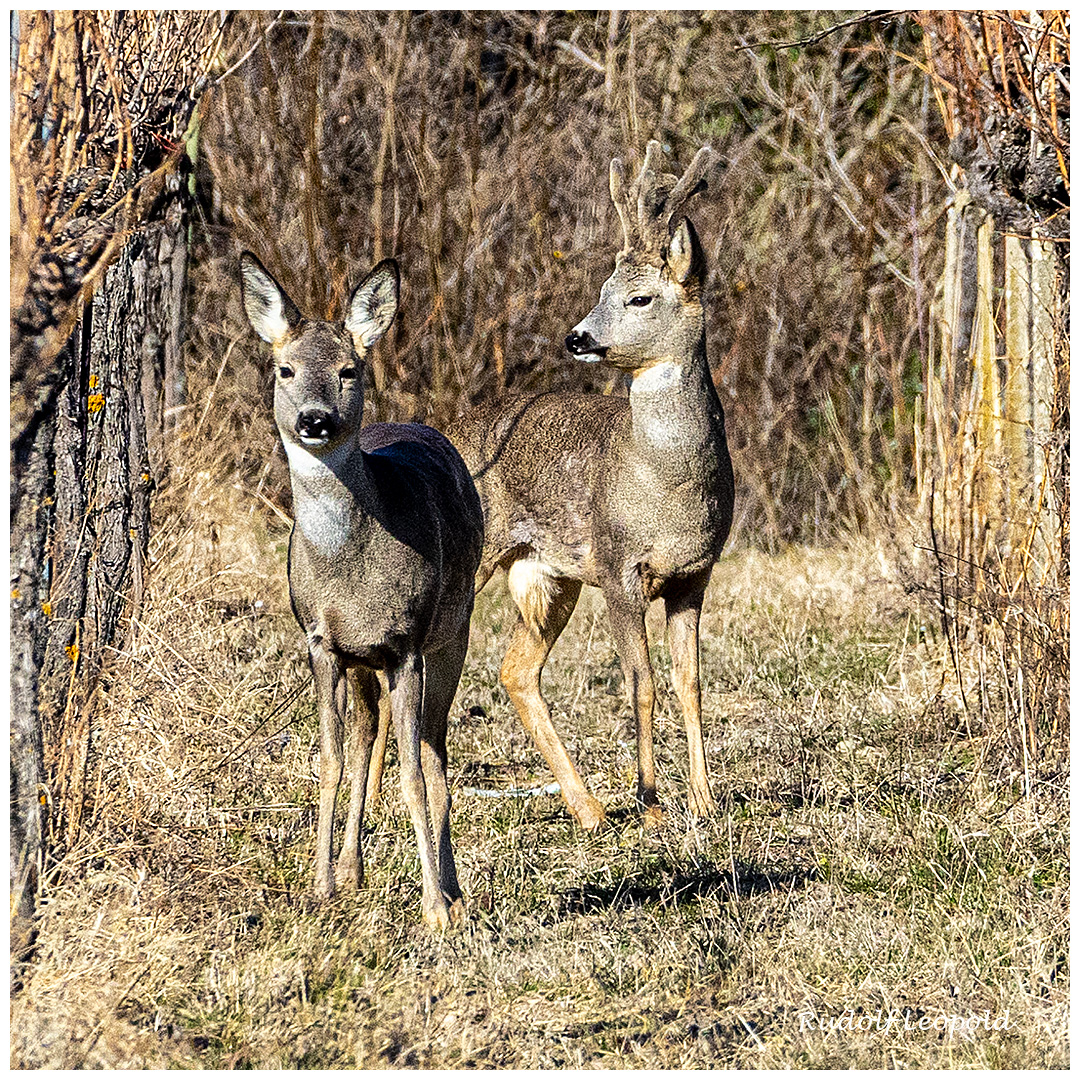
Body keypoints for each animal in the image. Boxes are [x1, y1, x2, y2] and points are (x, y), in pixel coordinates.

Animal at [245, 252, 486, 928]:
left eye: (349, 369)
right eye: (285, 368)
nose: (315, 419)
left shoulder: (406, 644)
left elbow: (412, 773)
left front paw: (434, 909)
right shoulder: (321, 643)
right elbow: (330, 760)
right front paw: (321, 885)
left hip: (452, 631)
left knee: (434, 748)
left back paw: (455, 891)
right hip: (363, 663)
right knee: (365, 737)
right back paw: (353, 871)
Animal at [447, 143, 734, 829]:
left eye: (639, 298)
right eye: (603, 288)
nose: (577, 337)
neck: (666, 484)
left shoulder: (695, 575)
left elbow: (691, 684)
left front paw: (705, 803)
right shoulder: (618, 564)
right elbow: (642, 682)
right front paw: (651, 804)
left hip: (547, 574)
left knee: (516, 670)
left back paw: (589, 808)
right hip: (485, 556)